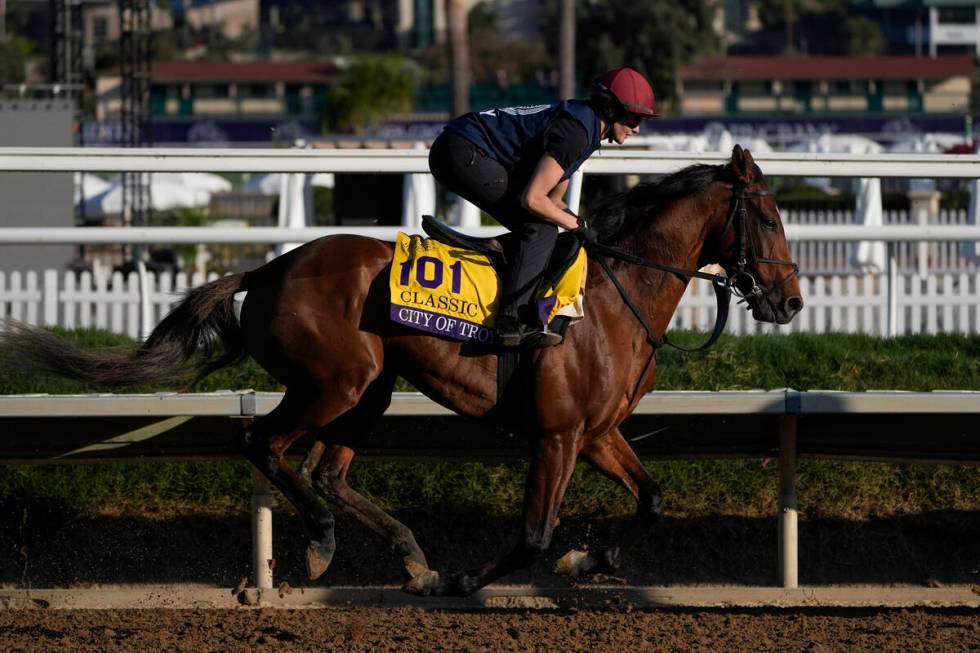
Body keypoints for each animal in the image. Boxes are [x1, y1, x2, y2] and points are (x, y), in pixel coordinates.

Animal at [3, 145, 804, 592]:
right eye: (769, 218)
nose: (791, 300)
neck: (612, 294)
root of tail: (267, 268)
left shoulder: (597, 433)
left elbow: (653, 500)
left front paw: (588, 561)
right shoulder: (556, 436)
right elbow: (531, 535)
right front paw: (465, 577)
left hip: (370, 390)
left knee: (326, 469)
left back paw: (408, 554)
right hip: (334, 382)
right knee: (263, 442)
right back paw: (326, 540)